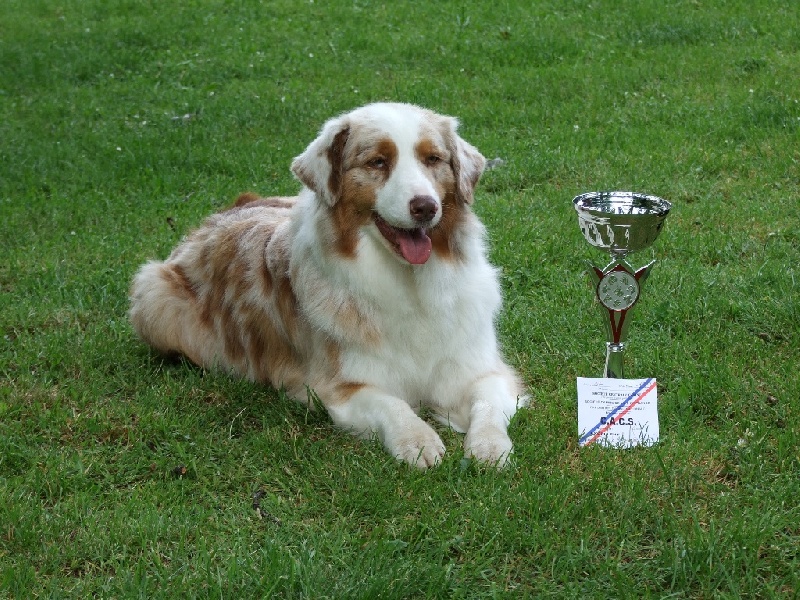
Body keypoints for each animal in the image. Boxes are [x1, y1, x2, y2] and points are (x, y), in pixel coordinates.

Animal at [129, 103, 528, 468]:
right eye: (377, 162)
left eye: (433, 158)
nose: (425, 207)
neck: (408, 283)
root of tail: (222, 213)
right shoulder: (339, 388)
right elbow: (393, 403)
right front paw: (417, 440)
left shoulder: (480, 369)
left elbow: (487, 404)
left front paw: (490, 446)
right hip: (153, 295)